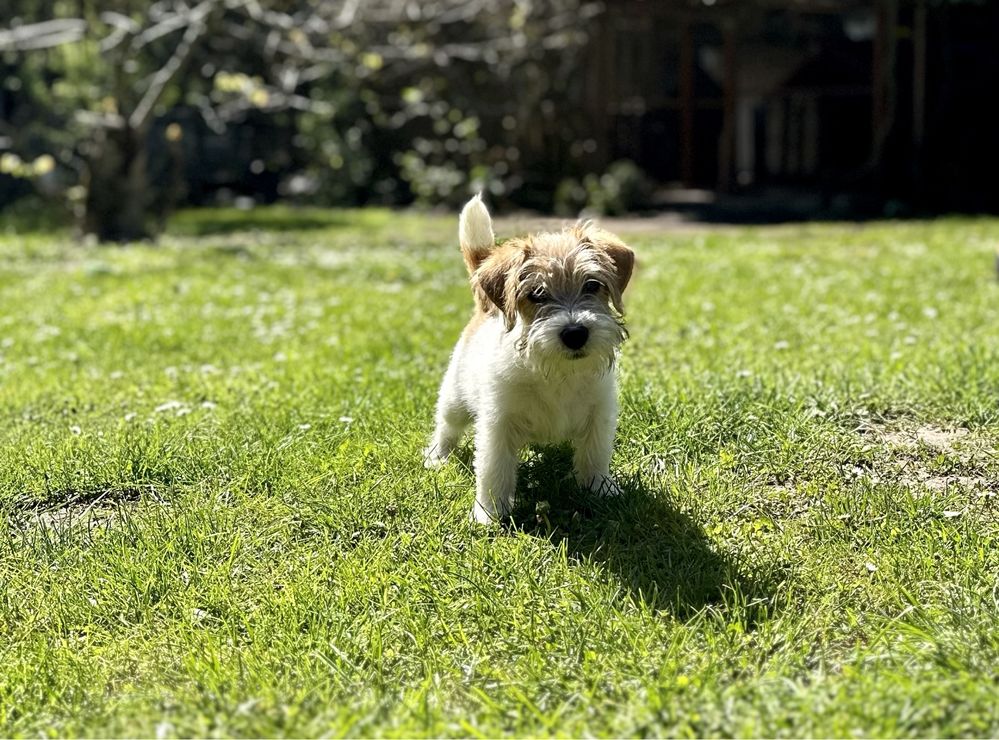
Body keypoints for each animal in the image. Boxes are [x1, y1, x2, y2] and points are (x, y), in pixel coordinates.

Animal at [426, 194, 636, 524]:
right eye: (536, 293)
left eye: (592, 285)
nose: (575, 333)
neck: (557, 374)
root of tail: (485, 308)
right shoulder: (497, 426)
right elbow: (494, 470)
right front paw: (489, 514)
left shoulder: (599, 414)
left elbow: (594, 455)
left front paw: (601, 490)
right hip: (454, 401)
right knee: (446, 427)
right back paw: (437, 456)